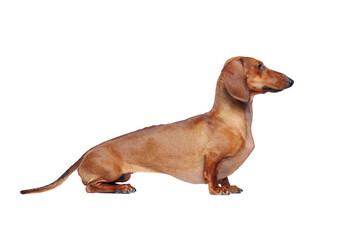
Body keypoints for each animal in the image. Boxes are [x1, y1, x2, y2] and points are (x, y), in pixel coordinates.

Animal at [20, 56, 292, 195]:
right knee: (89, 187)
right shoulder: (213, 159)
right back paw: (122, 189)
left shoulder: (225, 165)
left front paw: (229, 187)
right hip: (108, 171)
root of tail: (86, 152)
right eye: (260, 66)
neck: (231, 121)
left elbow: (226, 177)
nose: (291, 80)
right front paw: (217, 190)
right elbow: (213, 176)